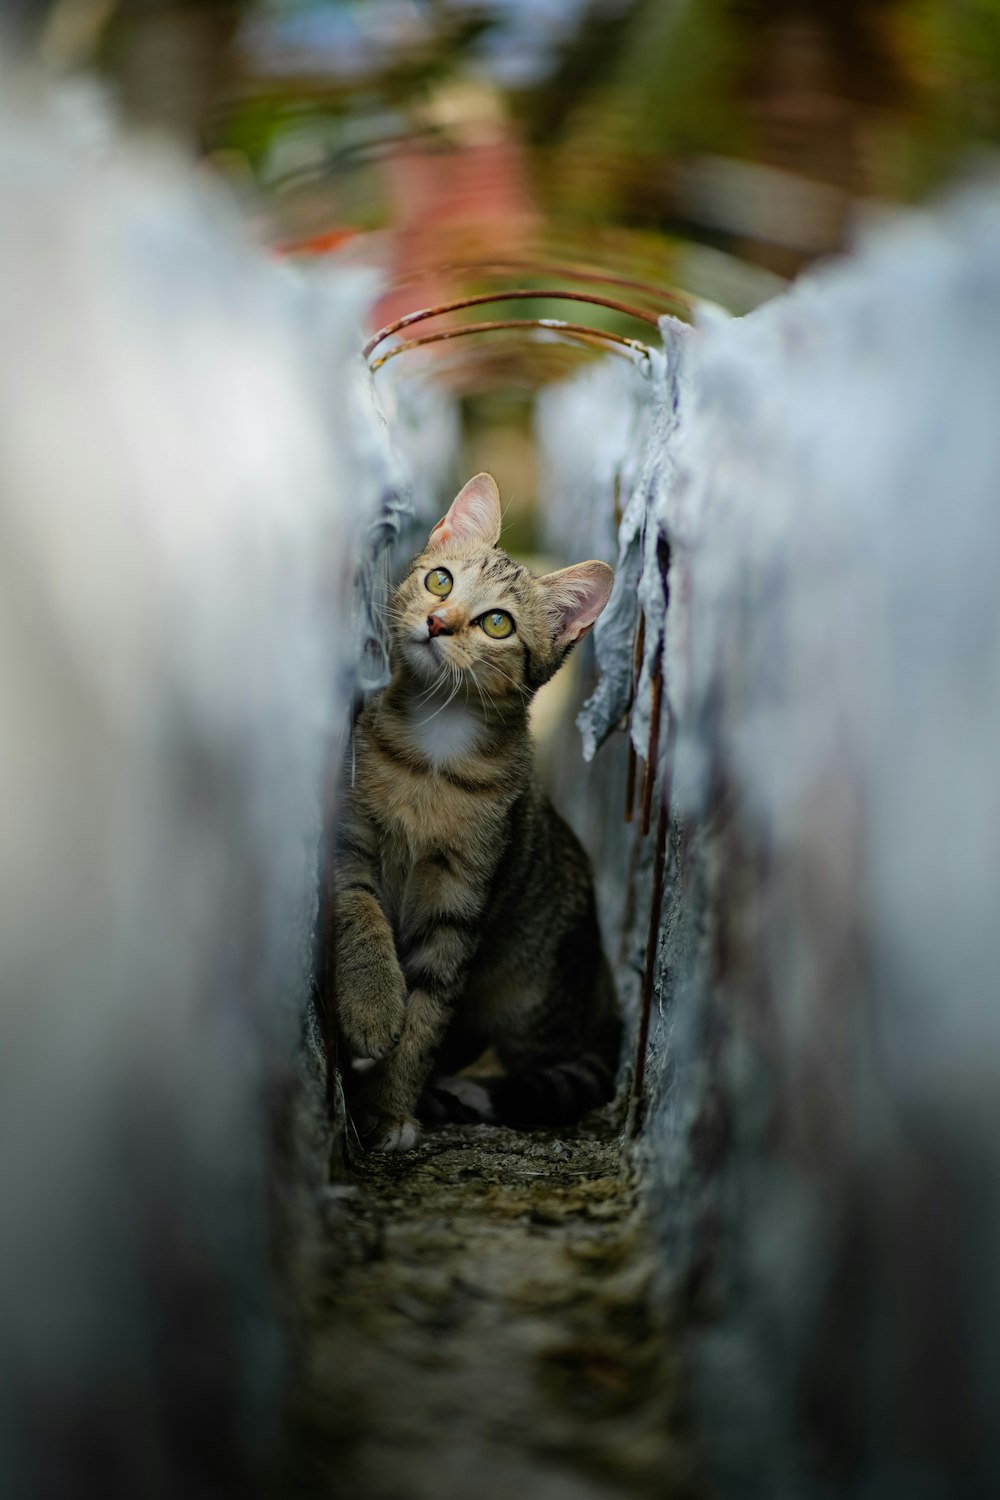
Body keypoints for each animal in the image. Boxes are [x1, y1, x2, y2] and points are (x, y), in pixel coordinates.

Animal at [332, 474, 620, 1152]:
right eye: (440, 581)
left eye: (496, 623)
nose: (438, 622)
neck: (435, 754)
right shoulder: (351, 839)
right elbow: (360, 913)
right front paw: (372, 1006)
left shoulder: (462, 904)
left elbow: (429, 1012)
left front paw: (390, 1106)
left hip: (531, 999)